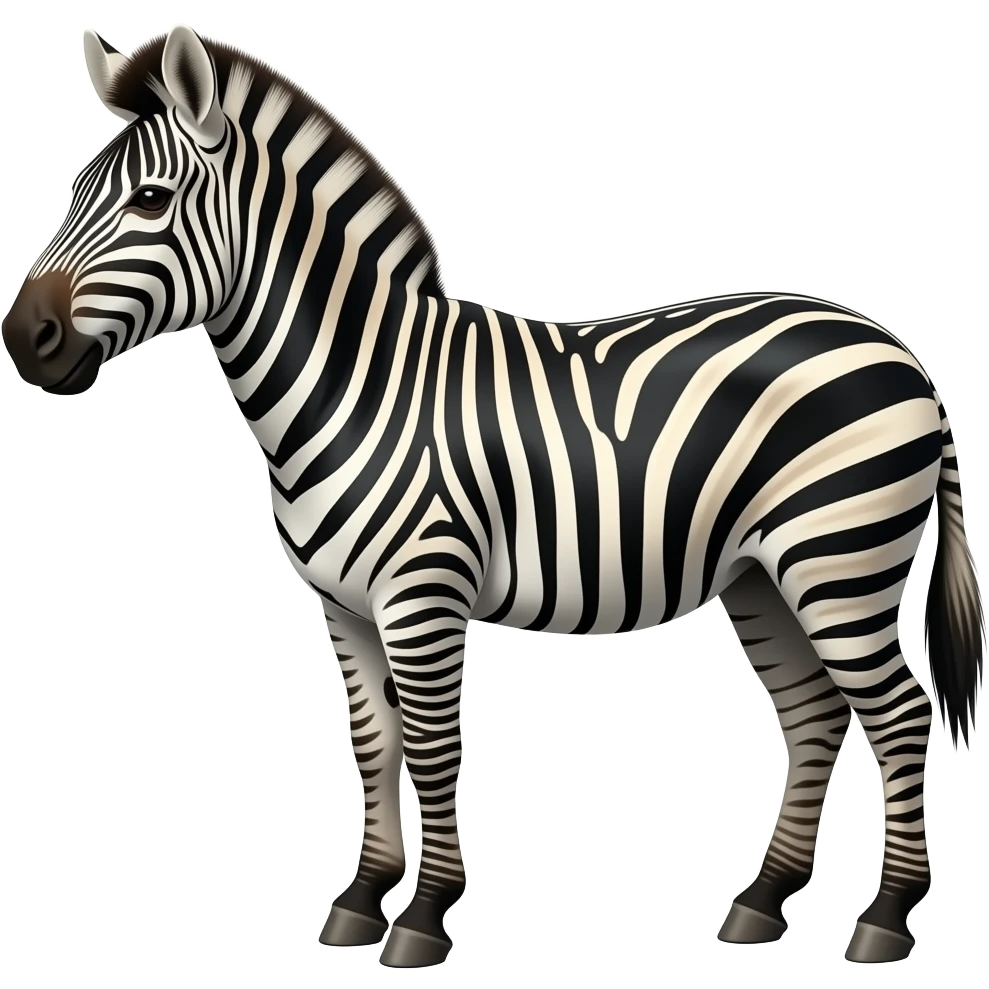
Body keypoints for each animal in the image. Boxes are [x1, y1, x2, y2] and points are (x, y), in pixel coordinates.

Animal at [1, 25, 983, 970]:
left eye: (150, 200)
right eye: (75, 189)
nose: (23, 338)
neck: (357, 386)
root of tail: (902, 353)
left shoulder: (422, 595)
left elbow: (434, 748)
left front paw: (422, 917)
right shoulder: (342, 607)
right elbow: (375, 744)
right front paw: (359, 900)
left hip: (840, 559)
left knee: (899, 714)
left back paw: (885, 919)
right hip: (759, 575)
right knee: (814, 712)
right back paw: (759, 901)